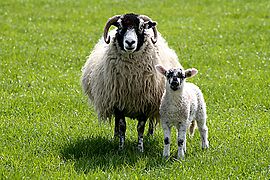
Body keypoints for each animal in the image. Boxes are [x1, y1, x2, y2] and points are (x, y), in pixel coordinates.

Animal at [80, 13, 181, 153]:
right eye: (120, 26)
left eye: (141, 27)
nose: (130, 42)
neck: (131, 78)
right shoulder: (118, 102)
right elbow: (122, 125)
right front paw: (121, 148)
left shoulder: (146, 103)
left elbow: (140, 127)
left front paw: (140, 148)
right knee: (117, 123)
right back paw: (115, 137)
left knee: (151, 121)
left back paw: (150, 135)